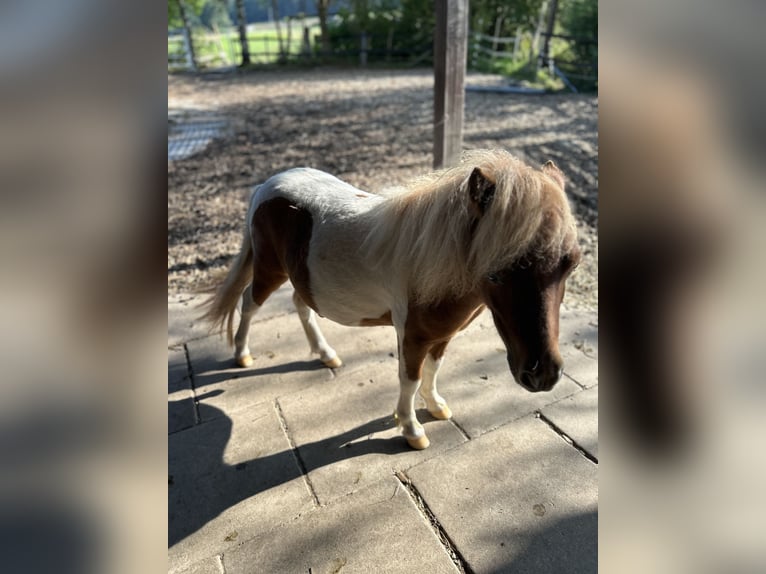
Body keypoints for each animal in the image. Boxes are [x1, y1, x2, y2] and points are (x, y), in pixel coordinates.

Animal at [204, 151, 584, 452]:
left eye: (570, 263)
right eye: (496, 272)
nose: (542, 375)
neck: (429, 261)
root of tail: (267, 185)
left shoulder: (441, 335)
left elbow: (433, 370)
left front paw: (436, 406)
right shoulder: (412, 337)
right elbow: (410, 380)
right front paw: (411, 429)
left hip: (302, 277)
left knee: (301, 304)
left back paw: (326, 355)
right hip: (270, 270)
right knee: (249, 304)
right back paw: (242, 355)